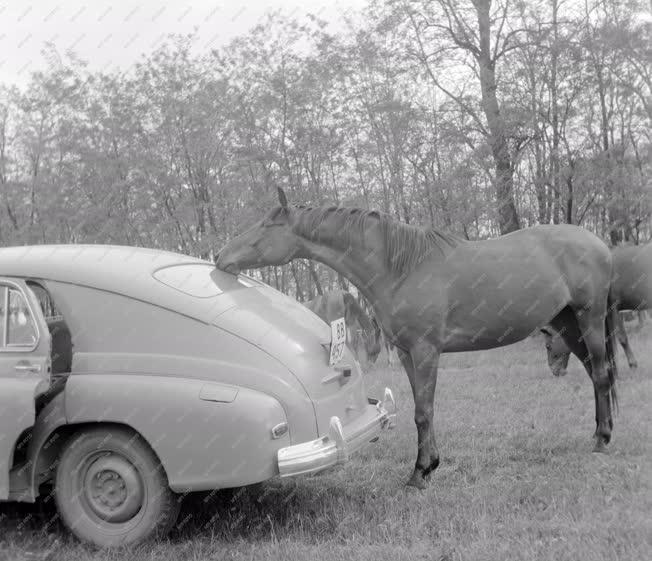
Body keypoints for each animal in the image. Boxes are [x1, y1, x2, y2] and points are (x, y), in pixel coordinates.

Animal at [216, 187, 620, 486]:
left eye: (268, 225)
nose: (221, 256)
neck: (400, 268)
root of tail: (597, 243)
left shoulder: (426, 351)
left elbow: (424, 412)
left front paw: (419, 473)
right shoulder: (407, 353)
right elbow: (421, 410)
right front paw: (430, 465)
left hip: (589, 318)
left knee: (601, 374)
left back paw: (603, 442)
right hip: (567, 323)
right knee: (593, 373)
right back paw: (599, 433)